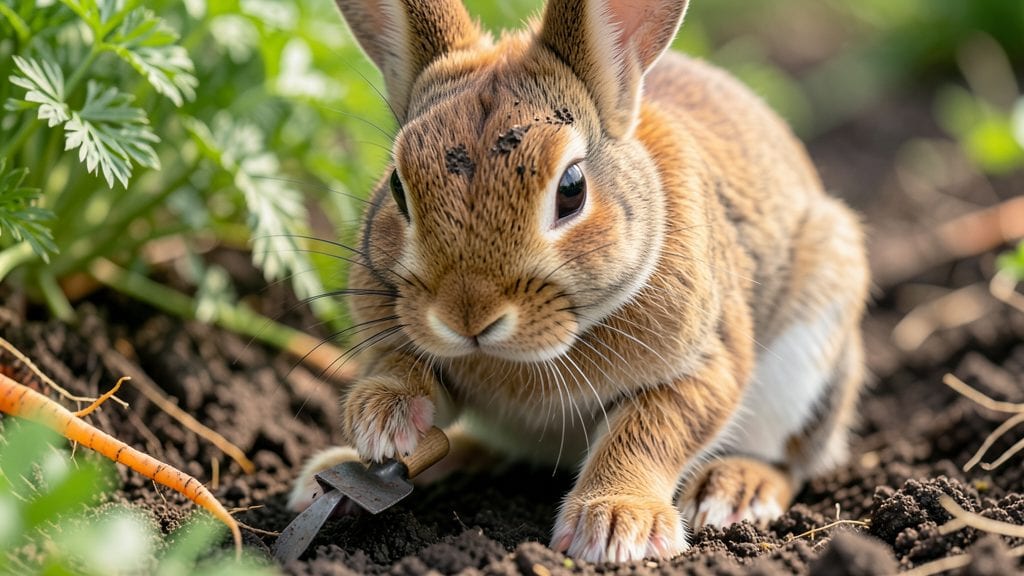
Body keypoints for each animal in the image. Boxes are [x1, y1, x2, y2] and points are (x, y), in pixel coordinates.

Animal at [289, 0, 869, 564]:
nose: (466, 316)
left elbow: (650, 432)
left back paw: (733, 490)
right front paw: (380, 421)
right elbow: (410, 373)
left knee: (790, 460)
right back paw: (328, 480)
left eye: (571, 189)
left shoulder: (707, 363)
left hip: (811, 344)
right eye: (397, 188)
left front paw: (615, 525)